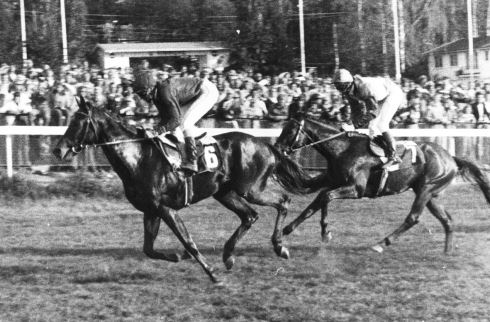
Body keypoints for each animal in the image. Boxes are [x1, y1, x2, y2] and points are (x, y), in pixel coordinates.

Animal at [53, 97, 300, 282]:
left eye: (78, 122)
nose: (58, 150)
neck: (138, 158)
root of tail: (266, 145)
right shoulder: (151, 210)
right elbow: (149, 249)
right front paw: (178, 256)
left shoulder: (165, 208)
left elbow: (188, 242)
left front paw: (211, 273)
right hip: (225, 192)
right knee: (250, 216)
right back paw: (229, 255)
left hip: (250, 188)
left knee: (283, 201)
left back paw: (279, 246)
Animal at [274, 115, 490, 254]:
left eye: (290, 130)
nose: (277, 148)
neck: (343, 149)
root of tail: (451, 157)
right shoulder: (336, 182)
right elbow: (321, 200)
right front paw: (319, 232)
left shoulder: (357, 189)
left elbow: (324, 197)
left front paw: (288, 231)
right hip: (430, 194)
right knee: (447, 220)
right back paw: (447, 252)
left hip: (427, 190)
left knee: (413, 218)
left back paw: (381, 243)